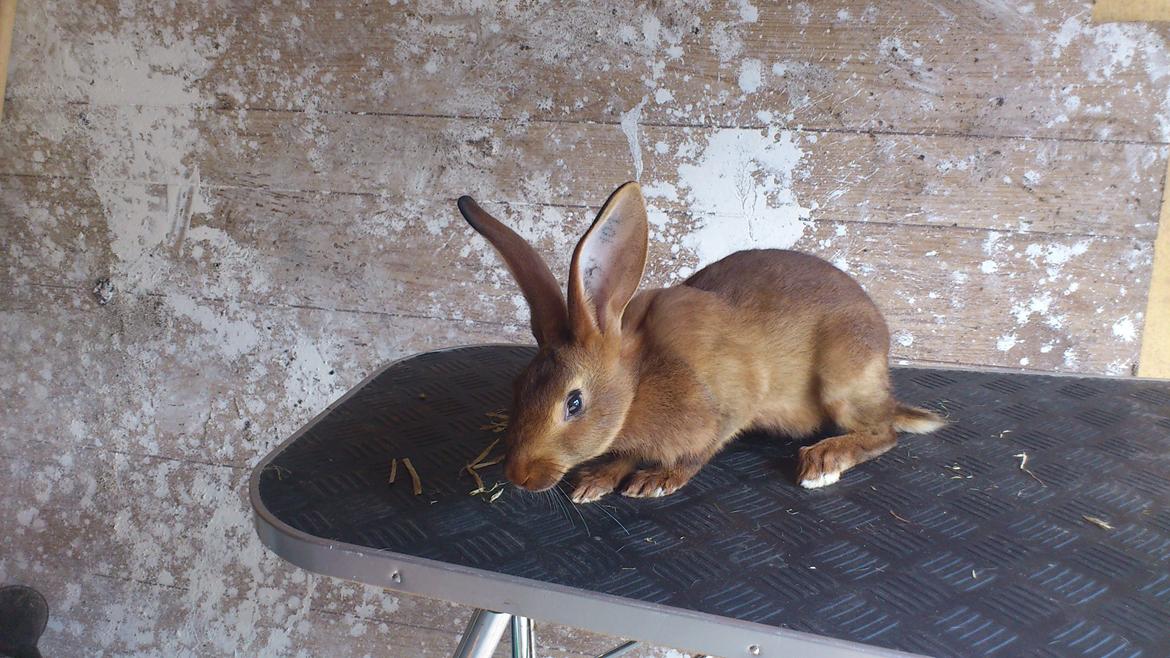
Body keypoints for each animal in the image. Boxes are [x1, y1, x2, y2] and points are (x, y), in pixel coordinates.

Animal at [457, 181, 945, 503]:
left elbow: (699, 453)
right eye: (519, 386)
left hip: (843, 380)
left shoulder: (733, 404)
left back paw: (823, 462)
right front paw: (596, 480)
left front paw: (656, 481)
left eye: (573, 403)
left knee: (882, 433)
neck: (637, 385)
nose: (518, 474)